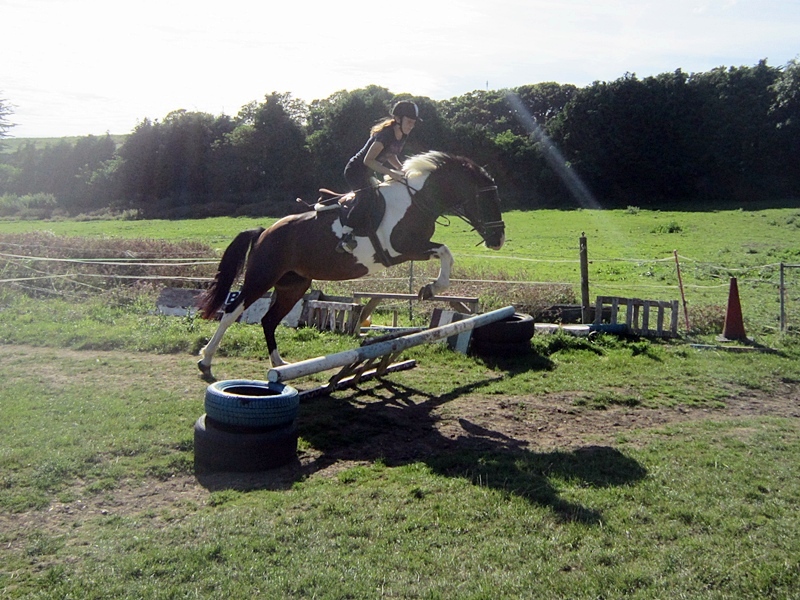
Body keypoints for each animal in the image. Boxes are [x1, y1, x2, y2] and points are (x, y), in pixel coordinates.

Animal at [196, 151, 505, 381]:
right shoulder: (403, 249)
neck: (417, 200)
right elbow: (444, 251)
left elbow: (445, 253)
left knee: (269, 320)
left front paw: (430, 289)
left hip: (293, 285)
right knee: (232, 311)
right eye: (486, 198)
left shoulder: (411, 249)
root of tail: (263, 232)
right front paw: (431, 288)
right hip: (262, 276)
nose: (499, 240)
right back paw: (207, 361)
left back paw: (280, 365)